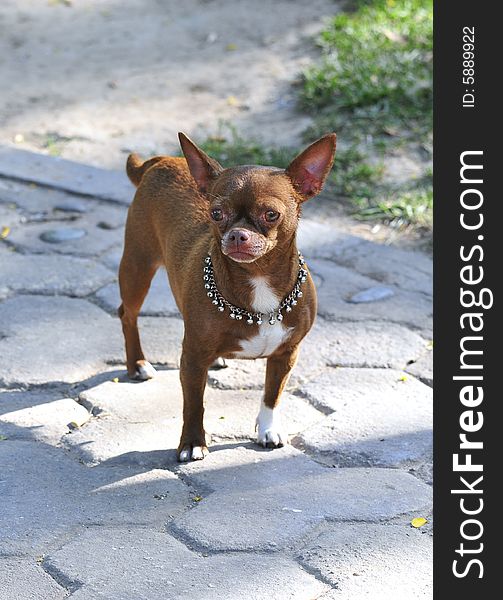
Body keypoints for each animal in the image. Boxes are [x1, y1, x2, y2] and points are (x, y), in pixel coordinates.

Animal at [119, 132, 336, 460]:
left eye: (271, 214)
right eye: (216, 214)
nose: (237, 234)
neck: (258, 278)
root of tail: (161, 161)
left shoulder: (286, 354)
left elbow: (272, 394)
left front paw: (268, 429)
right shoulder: (192, 359)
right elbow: (194, 404)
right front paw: (192, 442)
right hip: (137, 266)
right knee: (127, 313)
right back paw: (138, 364)